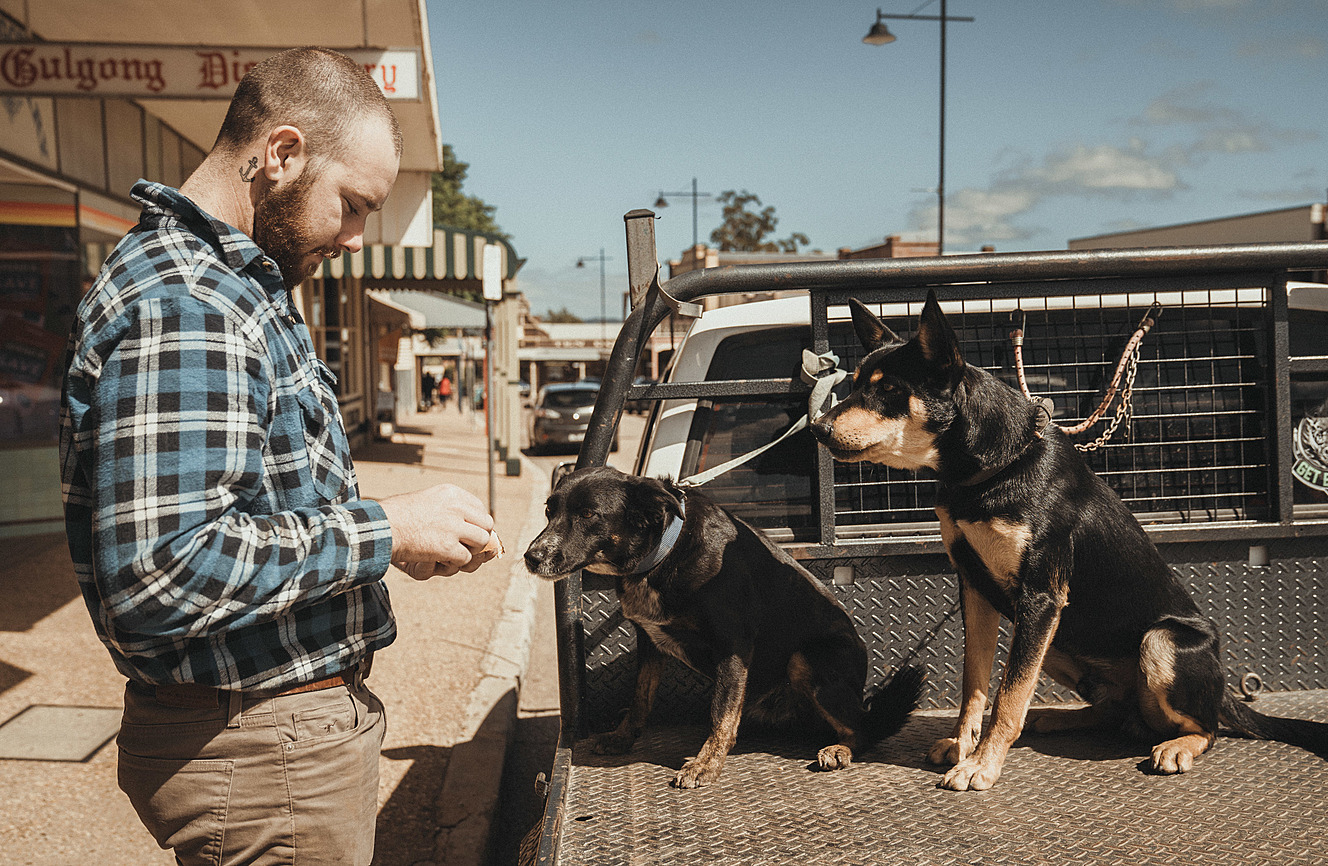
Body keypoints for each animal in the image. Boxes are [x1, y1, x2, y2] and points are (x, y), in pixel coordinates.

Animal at [520, 467, 924, 791]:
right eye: (549, 511)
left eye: (588, 514)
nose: (531, 557)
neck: (667, 550)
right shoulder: (648, 641)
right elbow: (640, 697)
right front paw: (623, 736)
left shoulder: (734, 645)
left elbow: (720, 712)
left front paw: (705, 764)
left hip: (805, 660)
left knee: (864, 728)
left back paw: (841, 748)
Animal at [807, 292, 1328, 791]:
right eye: (854, 383)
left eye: (891, 390)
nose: (817, 428)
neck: (990, 469)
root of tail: (1221, 688)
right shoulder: (978, 591)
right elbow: (975, 684)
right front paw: (962, 745)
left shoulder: (1040, 596)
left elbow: (1009, 694)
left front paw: (982, 766)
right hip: (1058, 635)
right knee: (1115, 710)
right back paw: (1058, 717)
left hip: (1154, 641)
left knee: (1207, 727)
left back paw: (1178, 745)